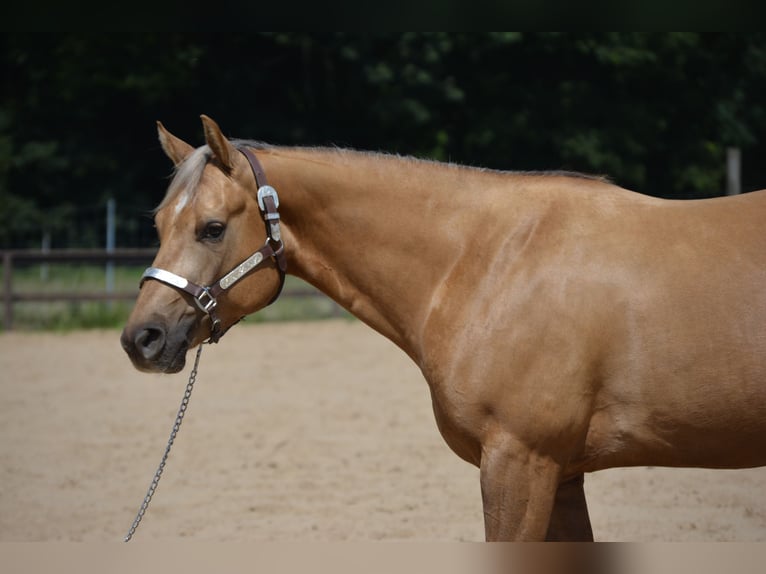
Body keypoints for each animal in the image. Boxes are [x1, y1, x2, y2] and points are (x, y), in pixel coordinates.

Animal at [120, 116, 766, 540]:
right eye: (158, 222)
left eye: (211, 228)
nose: (141, 339)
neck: (493, 260)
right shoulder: (563, 475)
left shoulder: (520, 464)